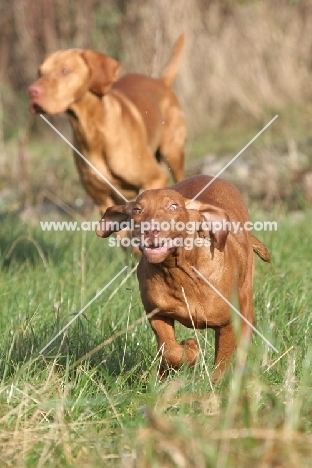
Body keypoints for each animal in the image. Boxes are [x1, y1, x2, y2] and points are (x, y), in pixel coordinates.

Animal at [27, 35, 185, 214]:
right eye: (40, 72)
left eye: (65, 70)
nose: (32, 91)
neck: (91, 131)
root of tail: (161, 82)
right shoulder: (103, 201)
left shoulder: (155, 178)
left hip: (173, 153)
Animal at [96, 174, 270, 382]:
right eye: (138, 210)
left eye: (173, 207)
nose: (150, 230)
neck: (180, 272)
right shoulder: (157, 314)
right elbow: (170, 351)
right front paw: (190, 350)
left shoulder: (227, 323)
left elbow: (222, 363)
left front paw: (215, 384)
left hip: (246, 304)